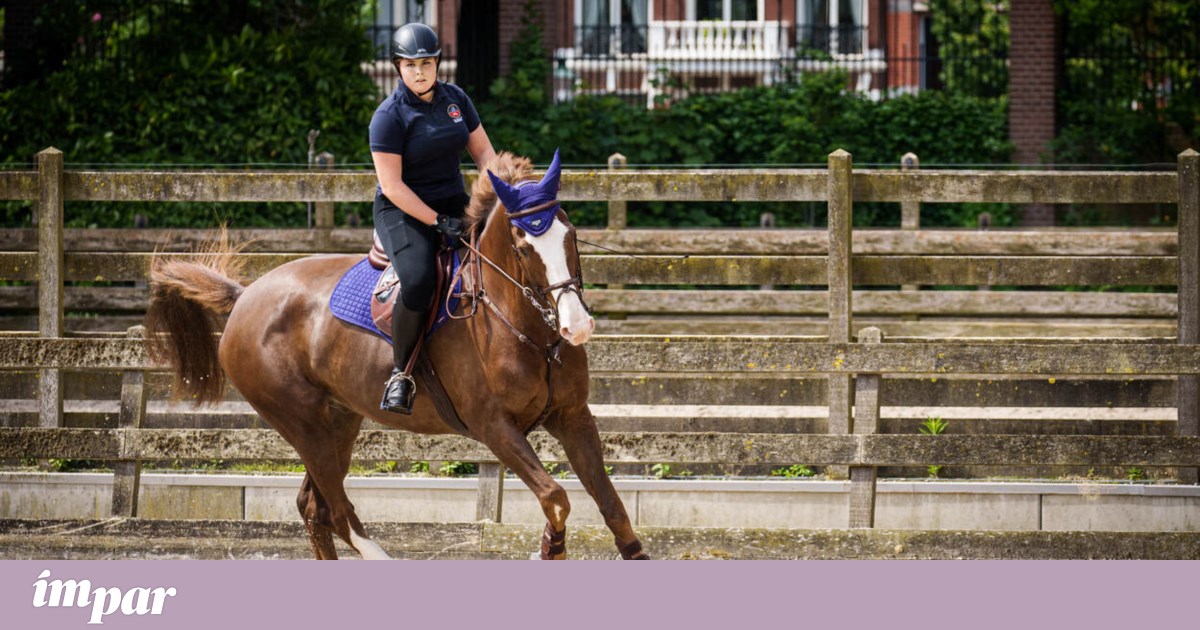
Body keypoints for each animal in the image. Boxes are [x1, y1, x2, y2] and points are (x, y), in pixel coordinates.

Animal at [144, 151, 648, 560]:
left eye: (571, 234)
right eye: (524, 247)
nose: (576, 326)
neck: (527, 331)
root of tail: (245, 297)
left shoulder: (572, 416)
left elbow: (610, 504)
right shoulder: (494, 427)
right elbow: (556, 498)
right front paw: (550, 548)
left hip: (338, 419)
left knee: (314, 506)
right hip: (299, 421)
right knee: (337, 511)